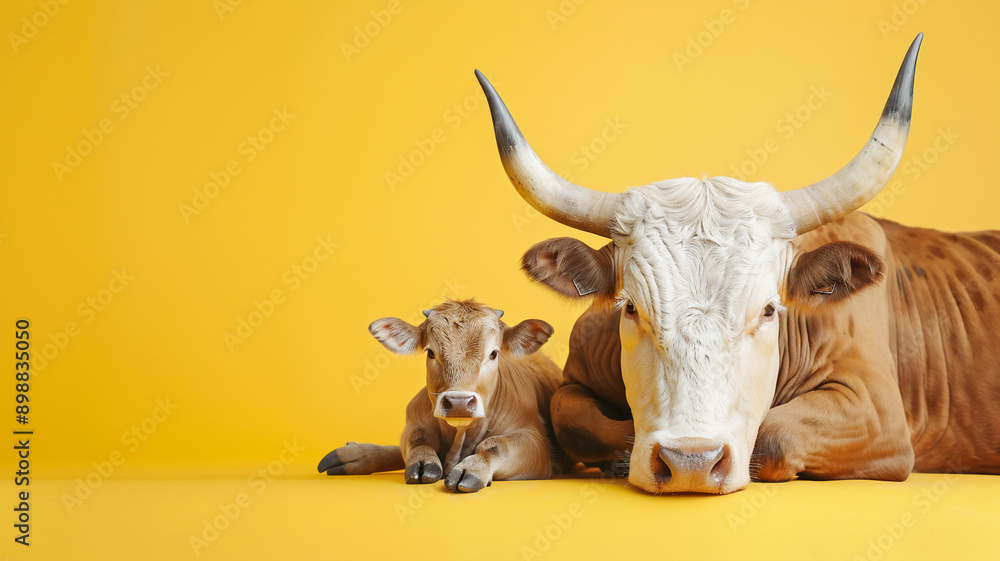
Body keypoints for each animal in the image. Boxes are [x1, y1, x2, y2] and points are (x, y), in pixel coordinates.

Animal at [318, 299, 565, 492]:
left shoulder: (536, 442)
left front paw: (474, 468)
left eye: (494, 354)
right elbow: (419, 437)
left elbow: (495, 445)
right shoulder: (413, 421)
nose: (459, 403)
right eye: (430, 352)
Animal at [474, 33, 1000, 494]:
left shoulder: (879, 414)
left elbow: (776, 432)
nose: (690, 462)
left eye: (768, 310)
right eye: (630, 309)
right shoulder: (572, 382)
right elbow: (572, 420)